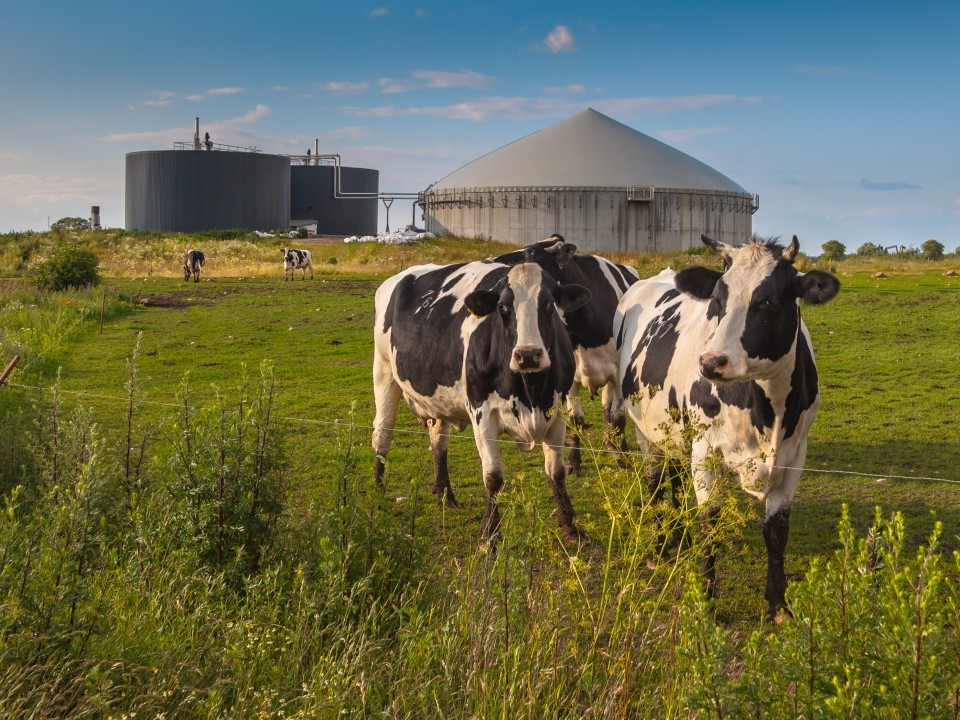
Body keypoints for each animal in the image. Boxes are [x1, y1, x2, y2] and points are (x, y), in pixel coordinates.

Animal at [374, 258, 592, 540]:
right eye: (503, 307)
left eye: (547, 304)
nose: (528, 355)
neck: (530, 393)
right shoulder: (482, 413)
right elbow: (493, 476)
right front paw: (490, 534)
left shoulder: (557, 411)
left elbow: (557, 472)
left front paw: (572, 527)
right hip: (384, 372)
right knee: (382, 434)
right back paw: (377, 496)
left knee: (438, 441)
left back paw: (444, 494)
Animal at [496, 233, 636, 476]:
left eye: (532, 253)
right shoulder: (570, 377)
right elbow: (575, 420)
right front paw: (573, 461)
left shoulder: (619, 373)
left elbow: (618, 417)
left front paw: (623, 458)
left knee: (610, 409)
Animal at [616, 235, 840, 620]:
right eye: (717, 301)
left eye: (768, 300)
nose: (711, 362)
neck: (767, 413)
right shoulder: (706, 452)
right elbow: (710, 523)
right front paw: (705, 602)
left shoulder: (795, 456)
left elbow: (776, 530)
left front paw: (778, 603)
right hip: (646, 431)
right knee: (655, 482)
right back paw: (660, 547)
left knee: (675, 478)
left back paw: (679, 538)